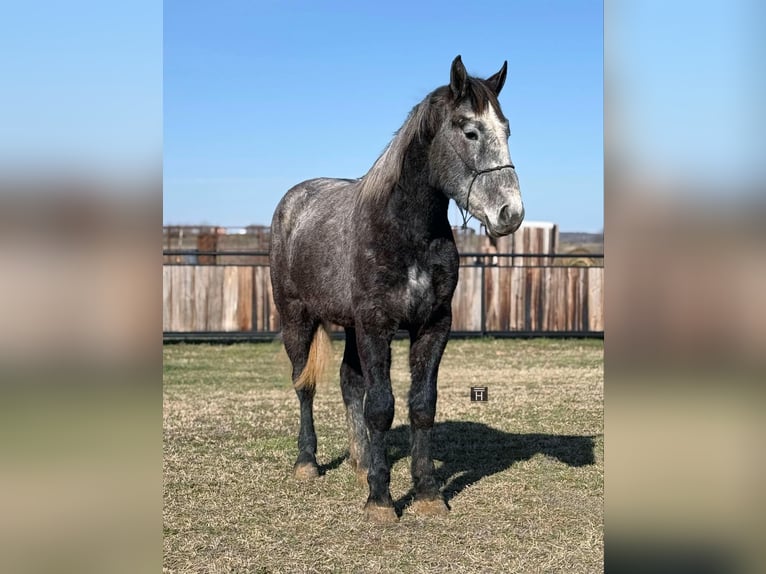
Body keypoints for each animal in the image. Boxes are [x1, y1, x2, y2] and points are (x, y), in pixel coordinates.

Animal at [269, 55, 524, 522]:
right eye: (470, 130)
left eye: (507, 129)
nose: (510, 213)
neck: (406, 231)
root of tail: (293, 202)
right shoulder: (376, 326)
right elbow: (382, 407)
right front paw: (381, 501)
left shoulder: (432, 326)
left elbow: (421, 405)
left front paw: (426, 493)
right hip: (297, 318)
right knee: (304, 385)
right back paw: (307, 463)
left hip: (350, 327)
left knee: (349, 383)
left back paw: (360, 462)